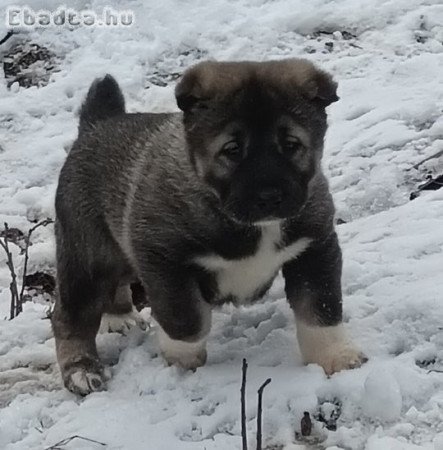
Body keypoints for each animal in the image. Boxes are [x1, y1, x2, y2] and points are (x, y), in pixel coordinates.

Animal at [52, 59, 366, 394]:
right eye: (232, 149)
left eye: (291, 145)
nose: (270, 197)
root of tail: (96, 124)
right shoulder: (164, 260)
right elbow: (186, 317)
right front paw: (181, 356)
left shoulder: (314, 247)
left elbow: (320, 308)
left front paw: (335, 355)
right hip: (87, 258)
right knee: (69, 317)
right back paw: (81, 370)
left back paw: (119, 315)